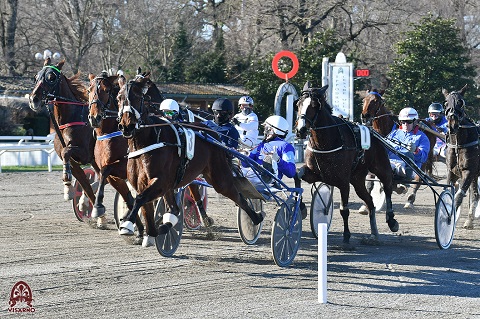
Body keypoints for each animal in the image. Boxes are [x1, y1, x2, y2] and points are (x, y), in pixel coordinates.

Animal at [27, 58, 98, 211]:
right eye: (36, 77)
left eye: (51, 77)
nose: (33, 99)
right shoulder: (74, 158)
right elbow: (84, 181)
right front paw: (72, 191)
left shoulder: (84, 153)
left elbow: (67, 151)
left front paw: (67, 182)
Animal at [116, 75, 266, 248]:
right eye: (119, 97)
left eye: (138, 97)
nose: (127, 126)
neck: (148, 141)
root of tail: (213, 133)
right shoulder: (145, 184)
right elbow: (144, 206)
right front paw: (147, 232)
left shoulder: (160, 181)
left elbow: (140, 199)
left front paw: (127, 223)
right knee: (174, 209)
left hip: (219, 178)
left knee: (237, 194)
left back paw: (256, 217)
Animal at [296, 82, 398, 248]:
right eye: (298, 104)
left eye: (313, 105)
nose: (301, 130)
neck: (326, 142)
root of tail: (373, 131)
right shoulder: (315, 173)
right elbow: (297, 174)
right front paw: (301, 207)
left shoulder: (343, 182)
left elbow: (344, 210)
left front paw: (346, 237)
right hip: (357, 179)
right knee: (370, 202)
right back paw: (374, 234)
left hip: (381, 167)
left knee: (388, 187)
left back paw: (391, 220)